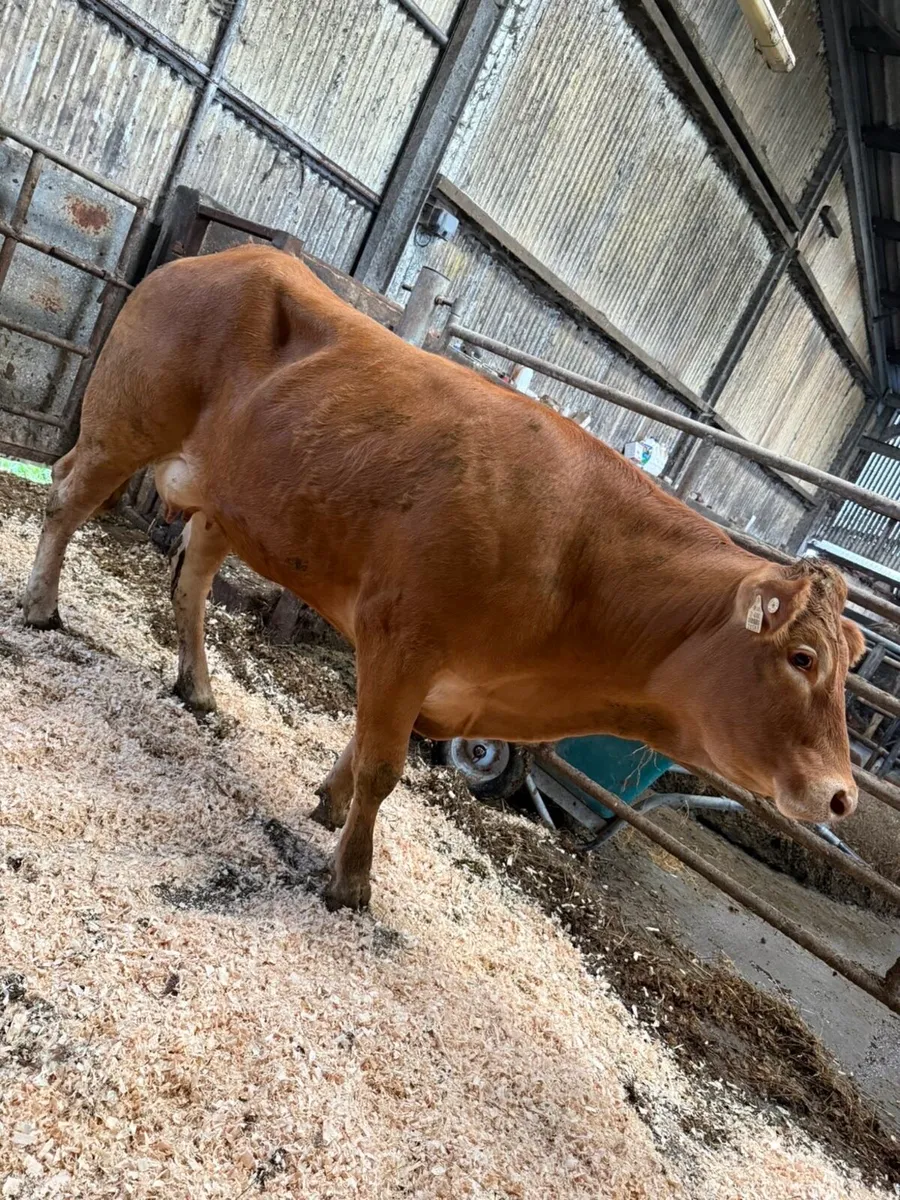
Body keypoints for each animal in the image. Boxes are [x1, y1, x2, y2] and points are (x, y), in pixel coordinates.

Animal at [22, 244, 866, 910]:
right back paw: (40, 607)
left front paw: (327, 805)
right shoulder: (402, 636)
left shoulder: (428, 673)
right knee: (65, 497)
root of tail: (221, 256)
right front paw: (352, 880)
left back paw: (197, 687)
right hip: (124, 424)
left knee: (189, 584)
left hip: (232, 506)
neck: (577, 566)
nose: (843, 795)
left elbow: (361, 748)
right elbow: (382, 765)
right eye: (801, 658)